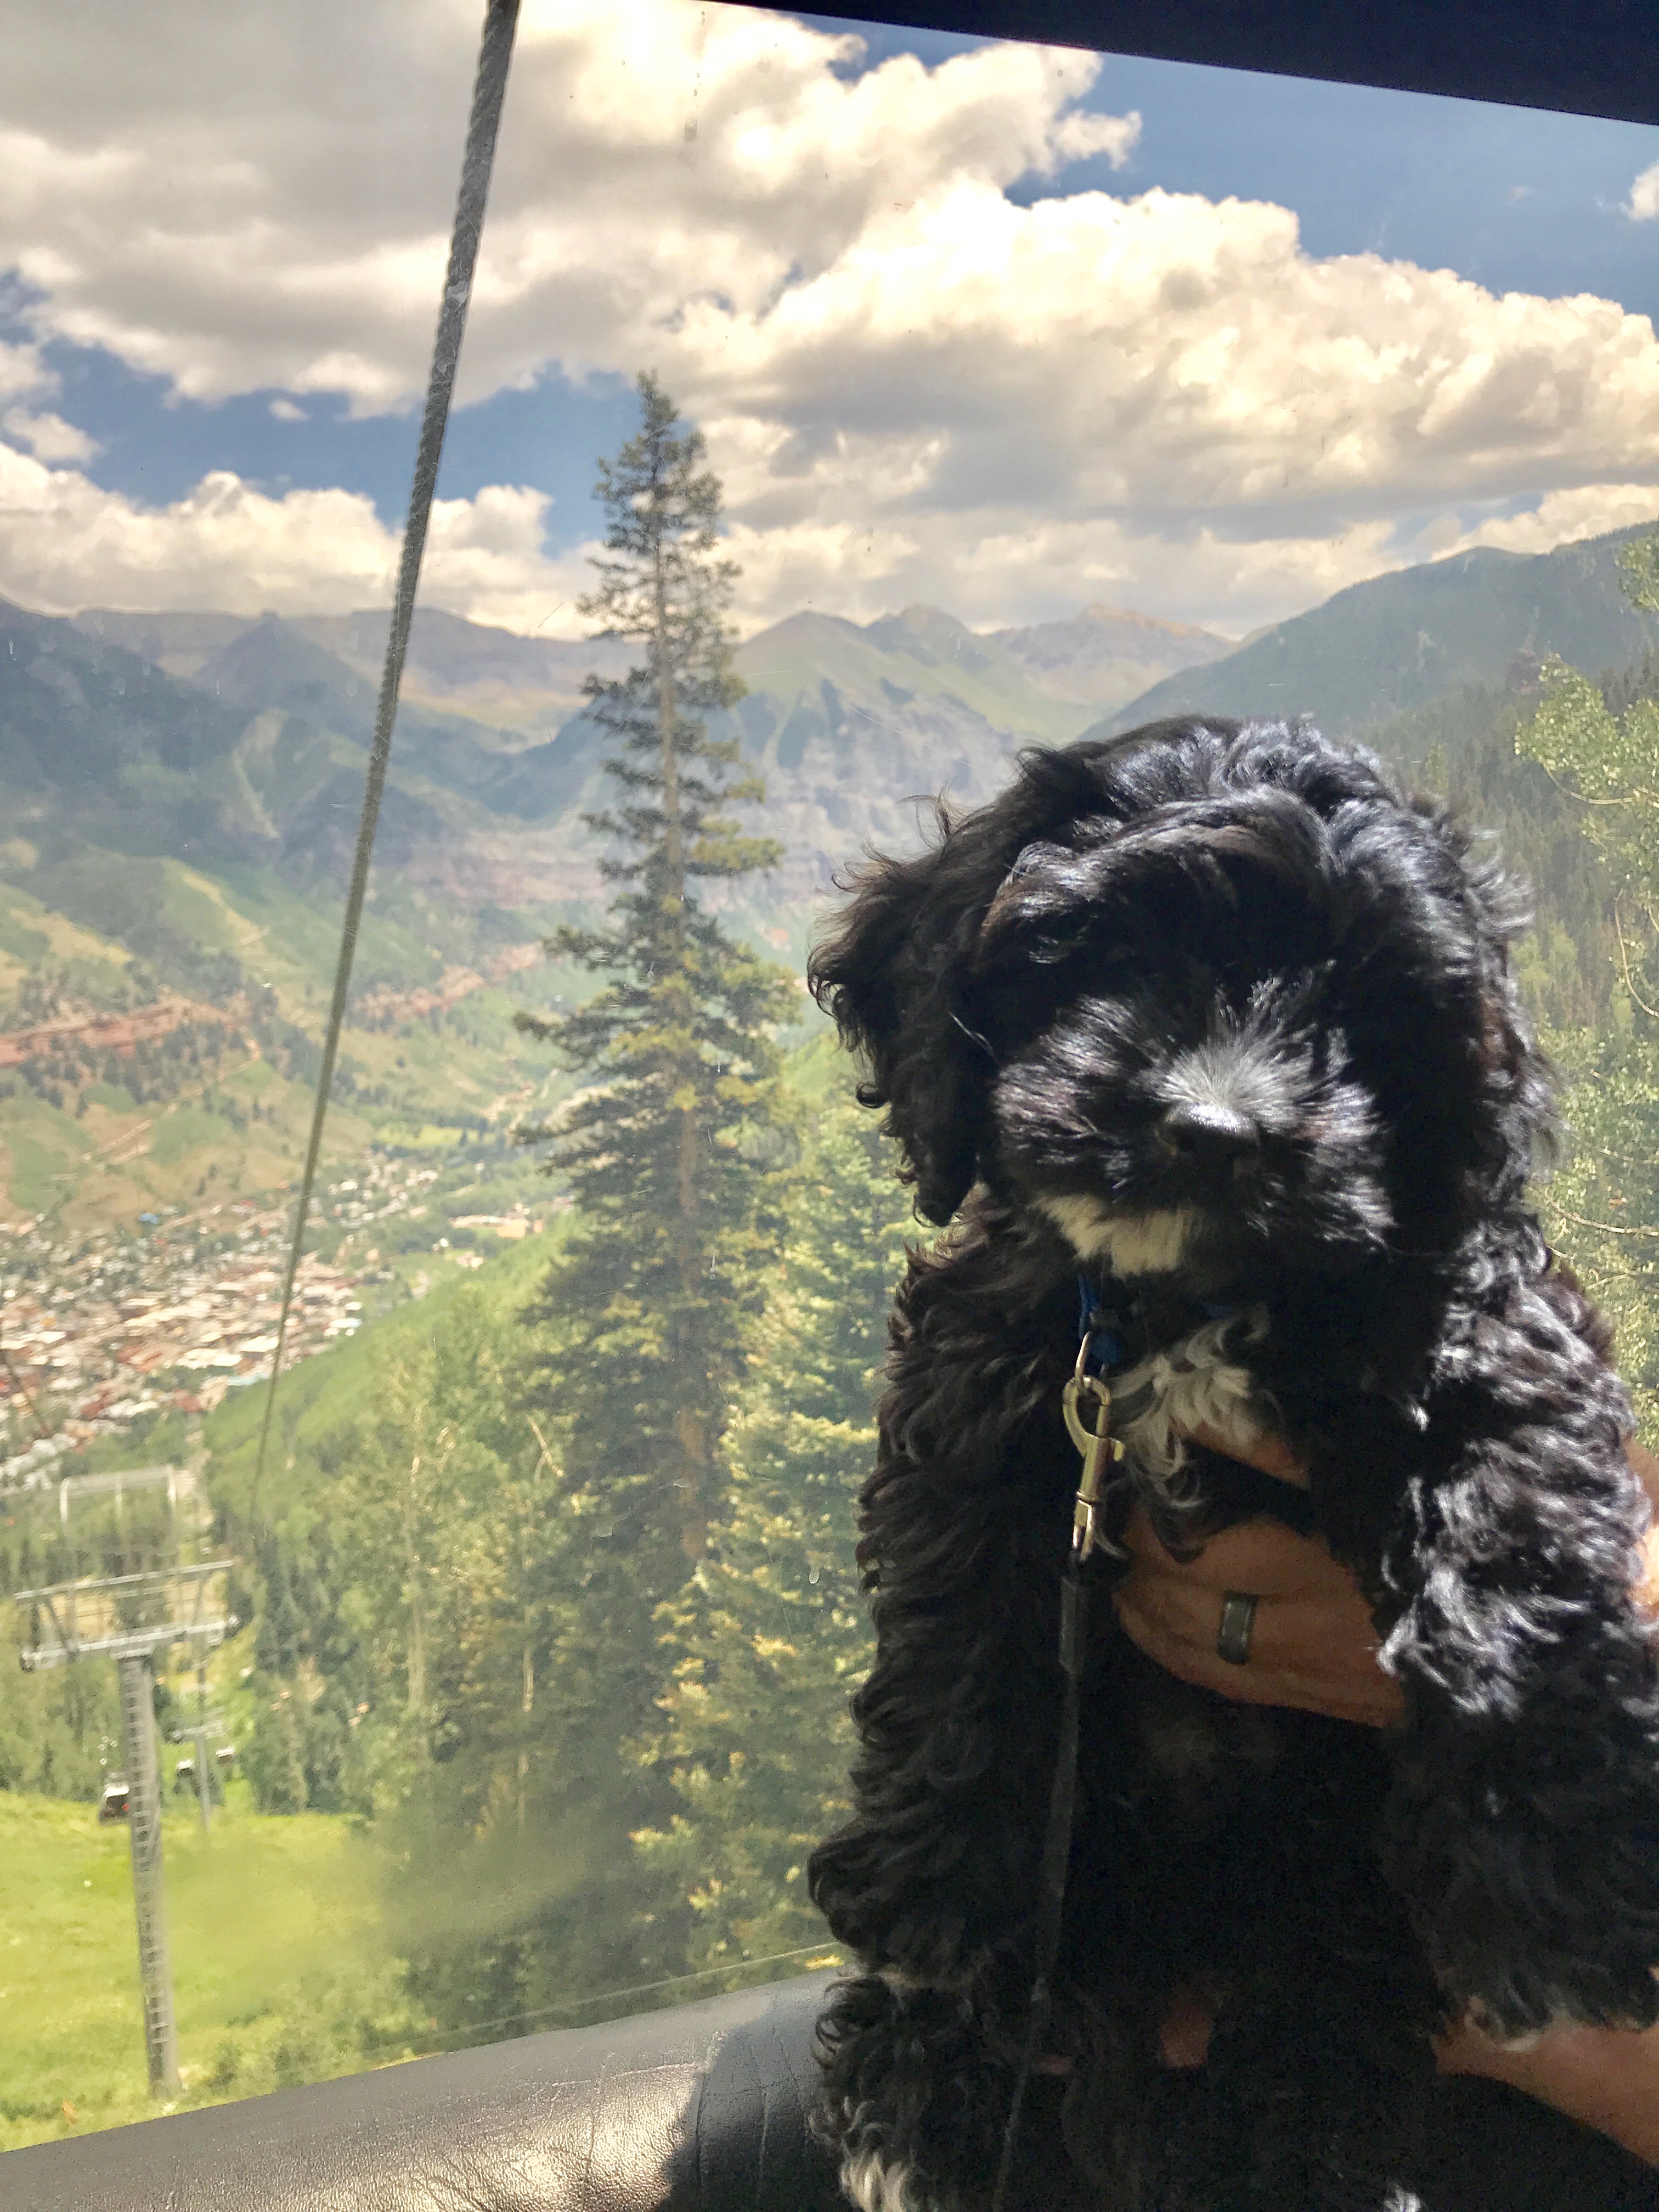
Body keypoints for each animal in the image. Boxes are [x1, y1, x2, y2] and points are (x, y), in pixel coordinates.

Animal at [805, 717, 1659, 2212]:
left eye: (1364, 1009)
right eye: (1103, 950)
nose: (1214, 1131)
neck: (1184, 1305)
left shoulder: (1479, 1329)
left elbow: (1514, 1543)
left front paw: (1555, 1890)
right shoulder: (981, 1382)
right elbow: (956, 1621)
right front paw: (931, 1894)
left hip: (1328, 1900)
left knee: (1326, 2029)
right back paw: (917, 2082)